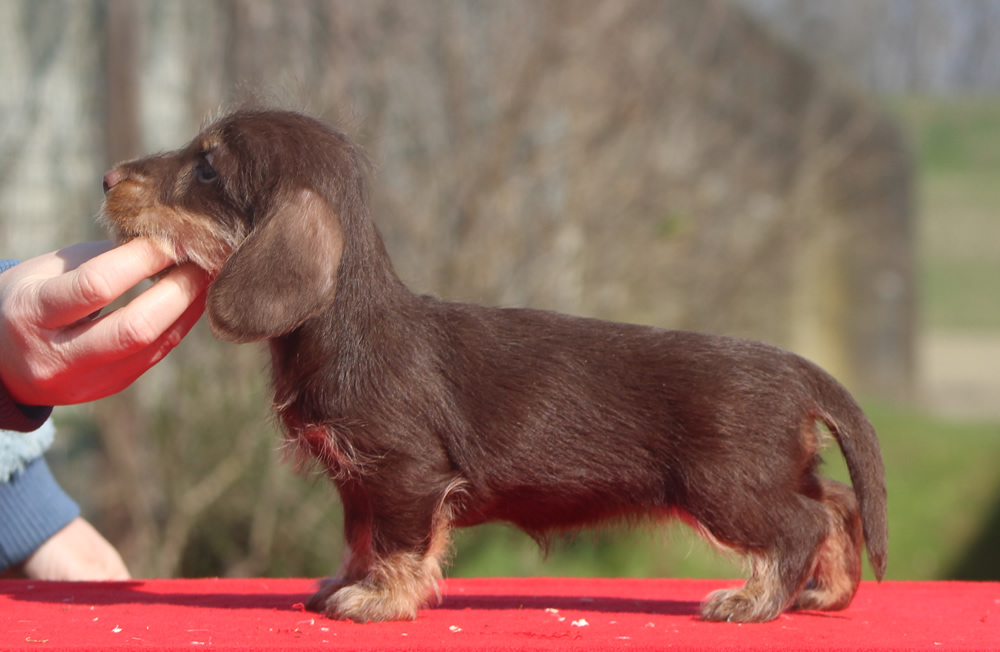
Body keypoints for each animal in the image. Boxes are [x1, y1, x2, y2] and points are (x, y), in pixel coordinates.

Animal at [101, 109, 888, 624]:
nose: (107, 176)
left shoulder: (405, 473)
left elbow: (397, 543)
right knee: (835, 505)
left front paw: (380, 599)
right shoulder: (358, 482)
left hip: (726, 487)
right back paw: (828, 591)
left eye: (207, 165)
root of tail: (797, 369)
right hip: (773, 473)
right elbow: (360, 539)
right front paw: (344, 583)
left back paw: (755, 600)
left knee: (800, 525)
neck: (344, 321)